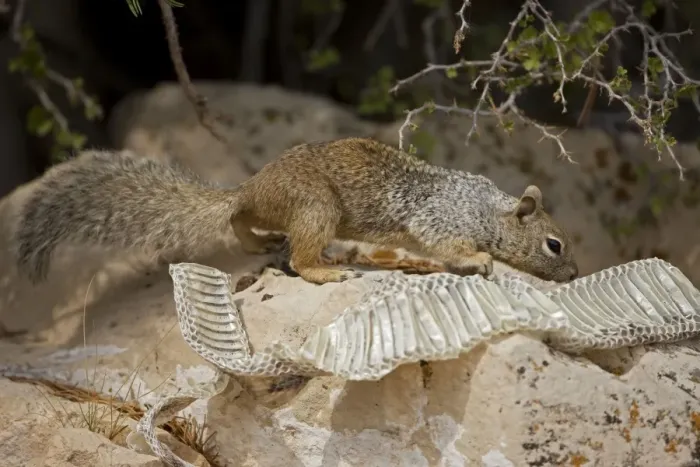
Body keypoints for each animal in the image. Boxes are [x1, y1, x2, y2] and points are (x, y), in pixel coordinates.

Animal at [13, 137, 578, 285]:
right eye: (554, 244)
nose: (574, 275)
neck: (489, 208)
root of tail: (249, 186)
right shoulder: (442, 219)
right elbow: (451, 247)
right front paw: (478, 261)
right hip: (314, 208)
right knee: (299, 261)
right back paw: (325, 271)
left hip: (281, 211)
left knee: (240, 220)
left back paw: (257, 240)